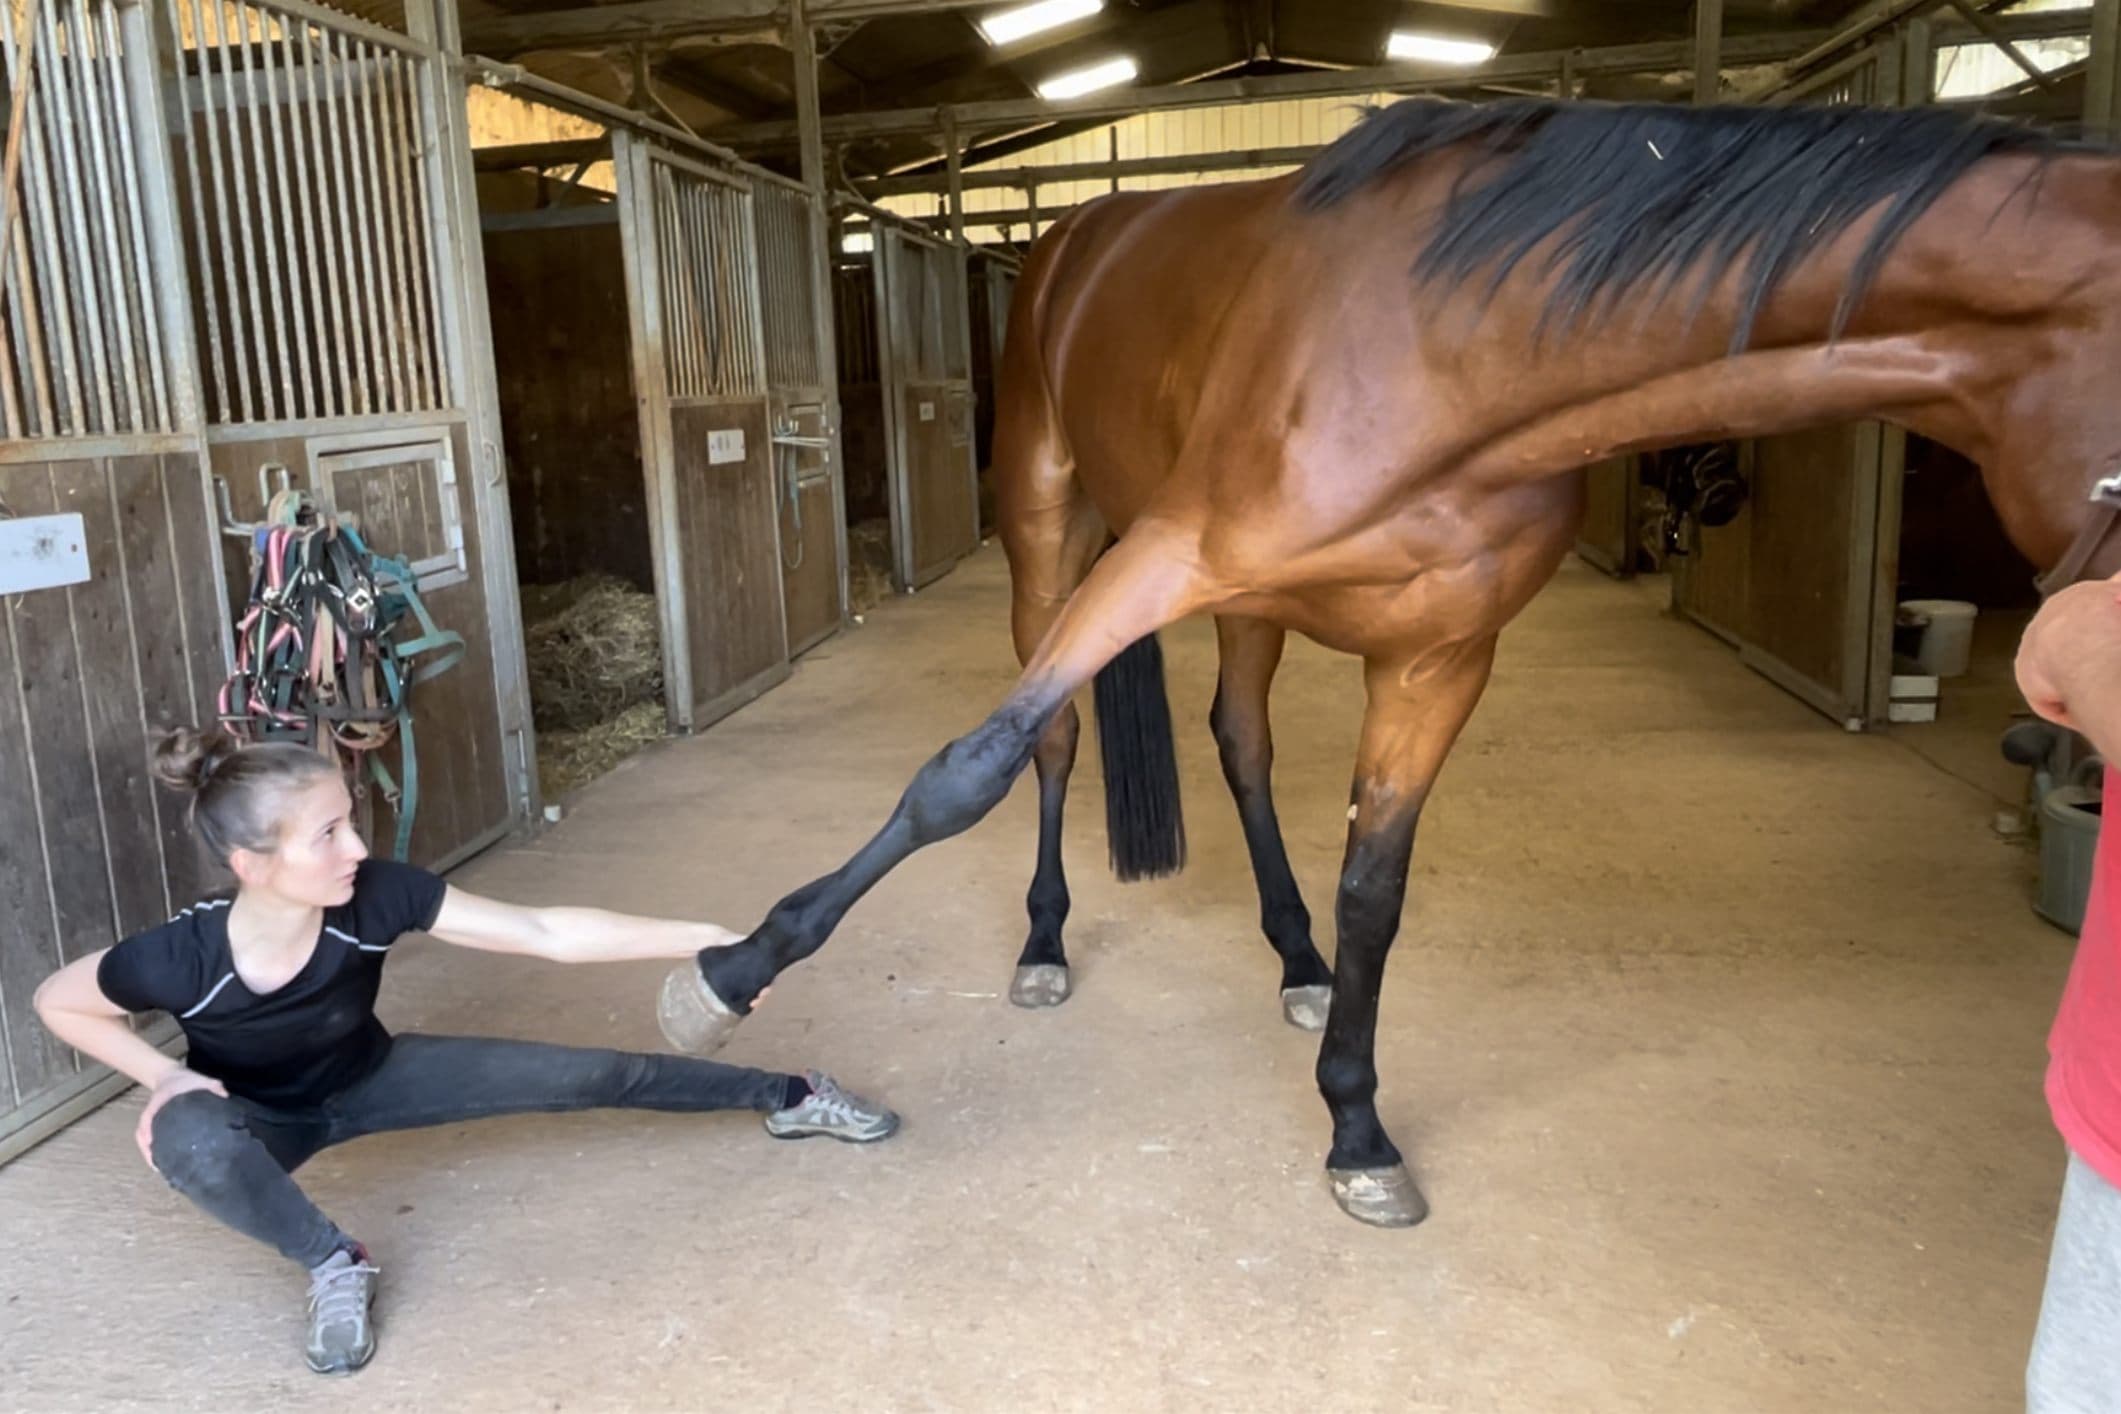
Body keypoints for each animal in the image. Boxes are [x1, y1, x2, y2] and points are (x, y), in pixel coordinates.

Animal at [659, 97, 2121, 1229]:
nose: (2060, 716)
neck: (1468, 347)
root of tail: (1080, 233)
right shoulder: (1162, 559)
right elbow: (963, 771)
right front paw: (725, 977)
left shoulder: (1438, 658)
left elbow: (1377, 890)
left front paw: (1356, 1128)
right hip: (1053, 533)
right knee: (1060, 740)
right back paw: (1045, 937)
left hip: (1249, 606)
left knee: (1239, 742)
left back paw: (1293, 961)